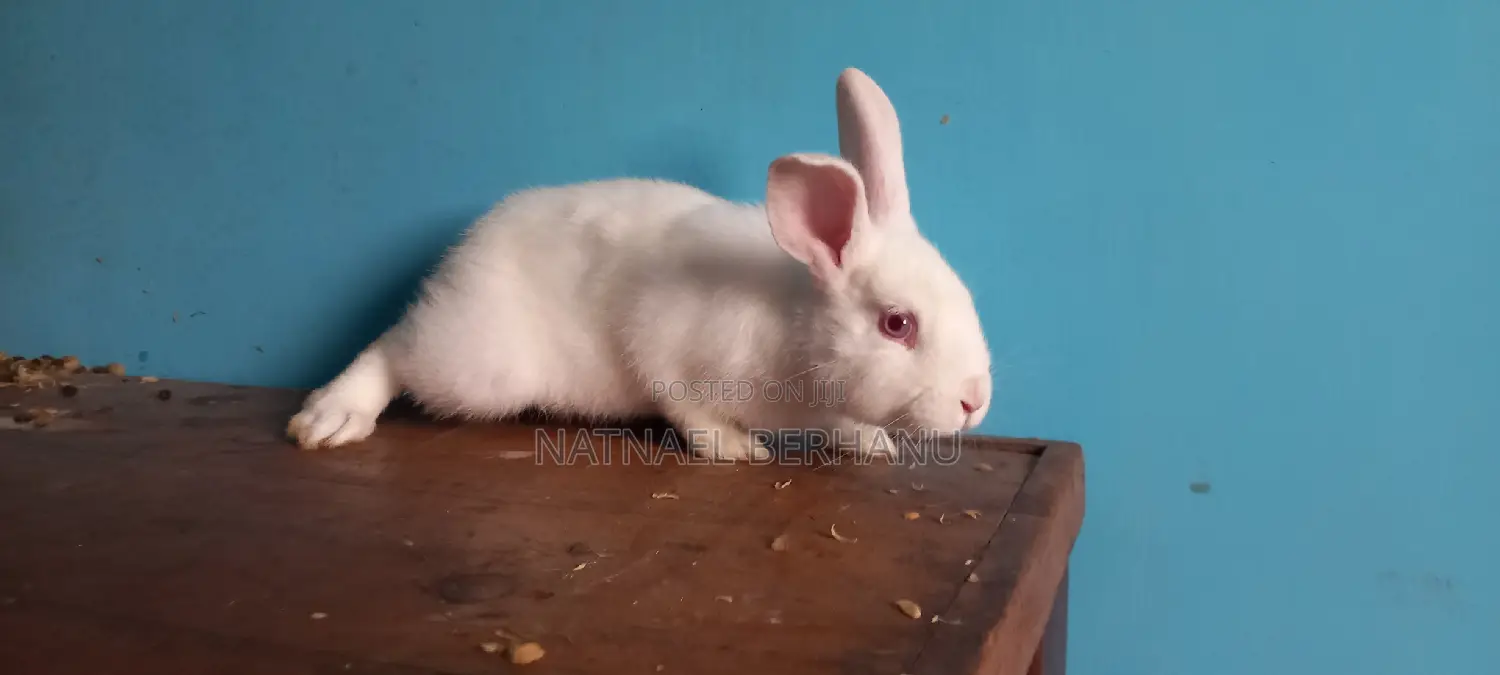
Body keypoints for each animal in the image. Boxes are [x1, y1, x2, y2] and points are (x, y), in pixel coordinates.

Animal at [286, 67, 992, 462]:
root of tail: (463, 255)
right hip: (479, 369)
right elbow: (686, 407)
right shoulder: (669, 345)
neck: (798, 330)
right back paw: (332, 417)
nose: (975, 402)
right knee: (396, 346)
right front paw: (737, 449)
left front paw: (872, 443)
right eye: (897, 324)